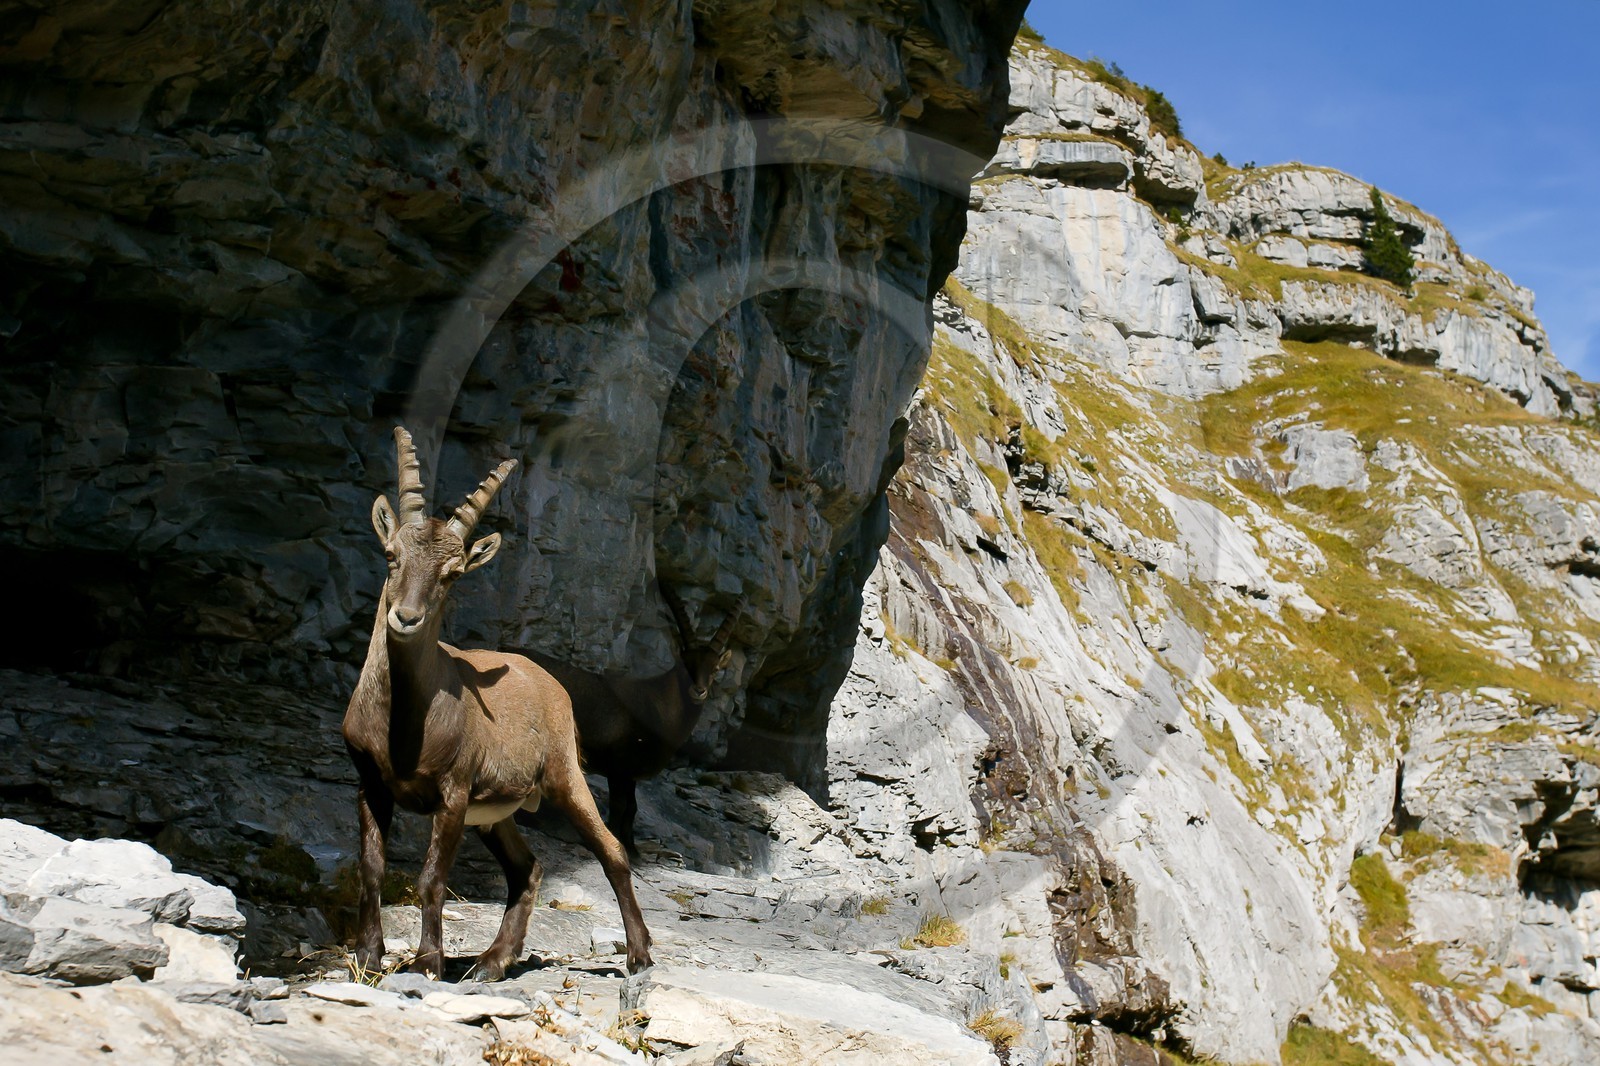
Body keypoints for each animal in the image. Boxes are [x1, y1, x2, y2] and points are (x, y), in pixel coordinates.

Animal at [342, 427, 652, 980]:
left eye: (453, 572)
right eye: (392, 555)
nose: (406, 618)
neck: (401, 722)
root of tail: (551, 683)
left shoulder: (454, 792)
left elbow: (431, 880)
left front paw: (427, 963)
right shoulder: (371, 783)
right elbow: (372, 868)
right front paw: (369, 957)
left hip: (562, 778)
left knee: (612, 850)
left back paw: (639, 954)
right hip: (493, 813)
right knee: (527, 868)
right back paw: (492, 960)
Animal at [521, 585, 742, 854]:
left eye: (715, 669)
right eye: (685, 664)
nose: (698, 690)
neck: (660, 708)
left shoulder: (631, 774)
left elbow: (632, 808)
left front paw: (633, 847)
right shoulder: (619, 766)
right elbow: (620, 806)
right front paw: (617, 843)